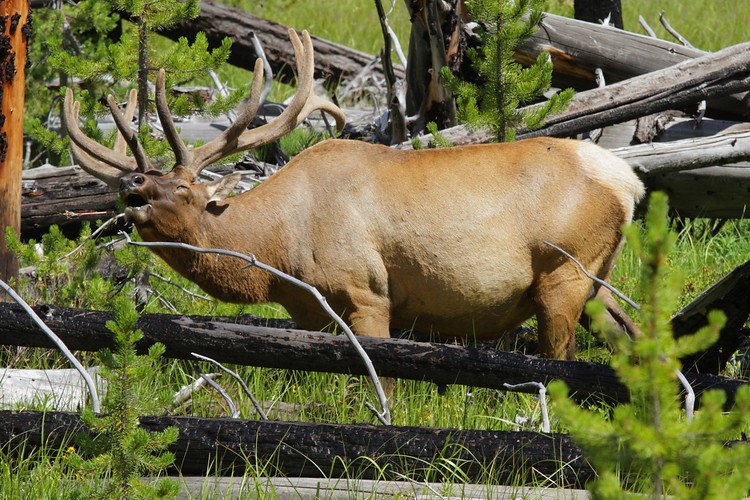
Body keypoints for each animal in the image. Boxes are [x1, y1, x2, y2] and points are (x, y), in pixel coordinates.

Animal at [64, 29, 644, 392]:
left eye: (185, 188)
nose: (132, 183)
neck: (281, 254)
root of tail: (628, 181)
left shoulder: (368, 292)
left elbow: (380, 383)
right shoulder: (312, 315)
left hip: (564, 273)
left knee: (563, 362)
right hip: (598, 282)